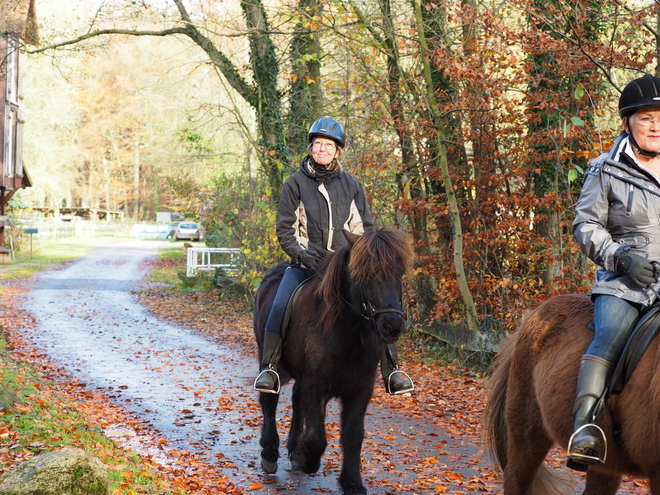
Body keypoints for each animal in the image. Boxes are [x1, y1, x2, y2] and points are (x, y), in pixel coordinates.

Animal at [253, 230, 412, 495]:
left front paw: (352, 482)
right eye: (365, 274)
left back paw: (293, 448)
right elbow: (316, 439)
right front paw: (308, 460)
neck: (347, 334)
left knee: (296, 399)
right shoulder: (316, 386)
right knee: (269, 400)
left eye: (399, 271)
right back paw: (270, 452)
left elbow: (353, 435)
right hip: (268, 360)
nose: (392, 326)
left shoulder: (360, 389)